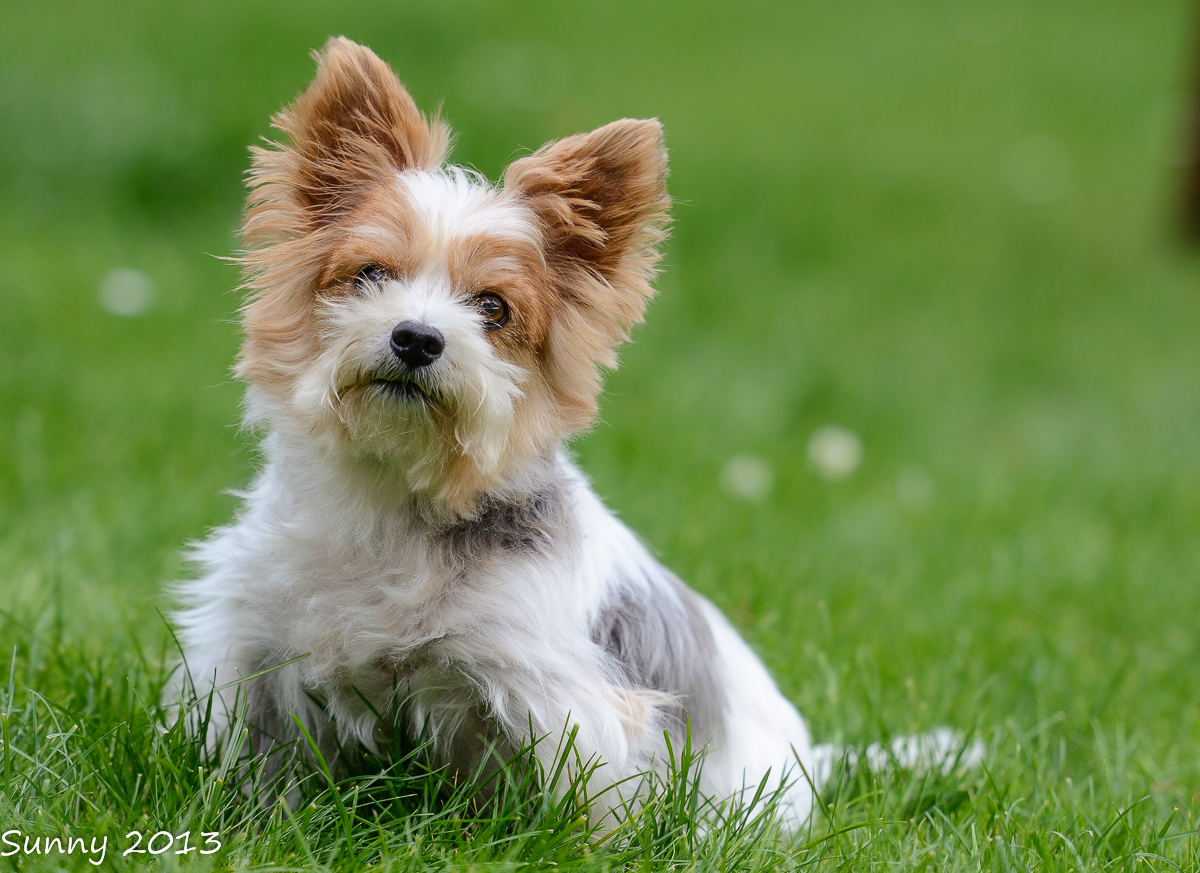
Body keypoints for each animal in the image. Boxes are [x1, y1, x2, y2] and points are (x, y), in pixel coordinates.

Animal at [174, 35, 830, 825]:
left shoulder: (555, 694)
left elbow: (579, 808)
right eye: (369, 275)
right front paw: (254, 821)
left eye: (493, 308)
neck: (394, 496)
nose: (417, 338)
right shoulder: (256, 650)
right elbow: (263, 765)